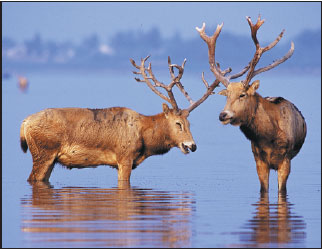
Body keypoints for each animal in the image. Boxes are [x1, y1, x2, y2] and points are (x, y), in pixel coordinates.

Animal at [19, 55, 224, 183]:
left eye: (190, 123)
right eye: (178, 123)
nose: (192, 145)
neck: (145, 140)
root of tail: (24, 123)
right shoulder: (124, 157)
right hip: (43, 152)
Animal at [196, 15, 306, 195]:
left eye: (243, 94)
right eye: (226, 96)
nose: (223, 115)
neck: (269, 137)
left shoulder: (286, 158)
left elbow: (281, 190)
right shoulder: (258, 158)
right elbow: (263, 190)